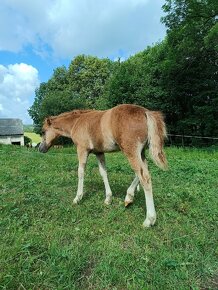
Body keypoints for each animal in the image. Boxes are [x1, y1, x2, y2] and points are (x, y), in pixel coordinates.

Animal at [39, 103, 168, 228]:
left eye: (43, 131)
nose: (40, 149)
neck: (76, 122)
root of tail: (145, 112)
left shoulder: (82, 149)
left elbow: (81, 172)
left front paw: (77, 198)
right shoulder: (99, 152)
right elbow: (103, 173)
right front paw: (108, 199)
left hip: (130, 151)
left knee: (144, 177)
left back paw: (149, 220)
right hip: (141, 152)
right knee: (144, 170)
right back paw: (129, 197)